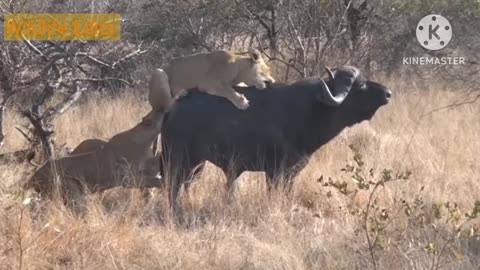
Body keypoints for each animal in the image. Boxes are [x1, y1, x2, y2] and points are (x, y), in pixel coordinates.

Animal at [148, 48, 276, 110]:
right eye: (267, 71)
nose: (272, 81)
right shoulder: (208, 82)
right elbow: (227, 90)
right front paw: (241, 101)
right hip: (159, 72)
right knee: (164, 106)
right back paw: (181, 93)